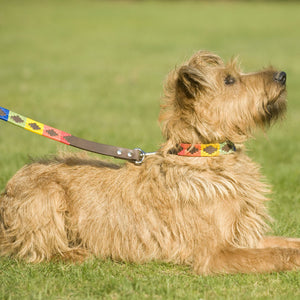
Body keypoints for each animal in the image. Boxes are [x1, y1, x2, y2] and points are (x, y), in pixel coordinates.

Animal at [0, 51, 300, 274]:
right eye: (229, 80)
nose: (282, 75)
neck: (204, 154)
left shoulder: (244, 235)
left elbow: (286, 242)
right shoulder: (214, 254)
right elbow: (275, 254)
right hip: (47, 195)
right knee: (34, 248)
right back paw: (74, 253)